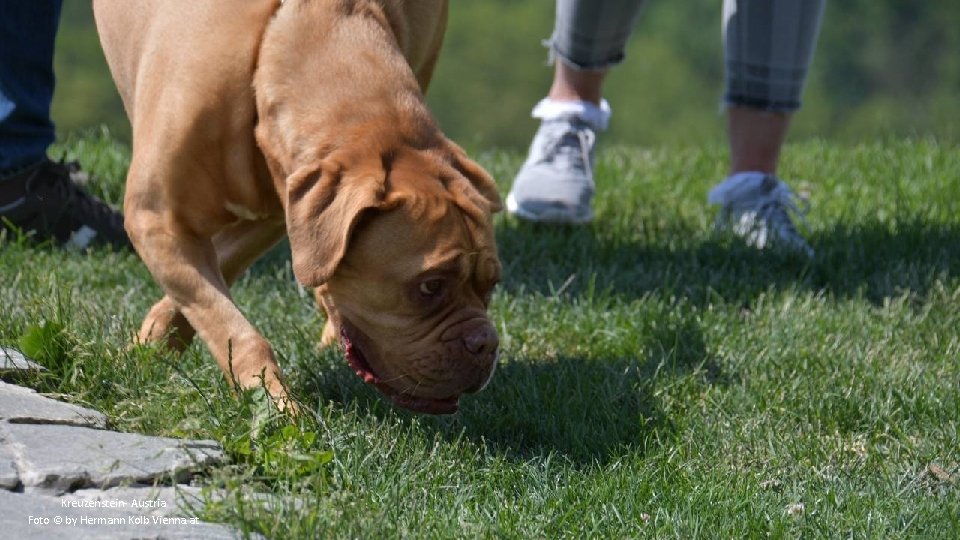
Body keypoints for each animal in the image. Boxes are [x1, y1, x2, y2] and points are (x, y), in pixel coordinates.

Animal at [92, 1, 502, 414]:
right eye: (430, 286)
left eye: (492, 284)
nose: (486, 344)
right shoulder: (157, 220)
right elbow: (232, 325)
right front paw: (278, 405)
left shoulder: (279, 210)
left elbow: (219, 278)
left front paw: (156, 341)